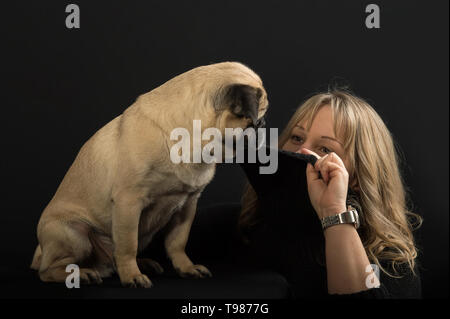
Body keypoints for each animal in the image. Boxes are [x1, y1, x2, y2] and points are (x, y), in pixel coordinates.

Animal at [32, 61, 270, 288]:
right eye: (256, 121)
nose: (264, 126)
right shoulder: (128, 202)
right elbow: (127, 245)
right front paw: (132, 276)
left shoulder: (187, 204)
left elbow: (177, 243)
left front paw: (186, 268)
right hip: (73, 233)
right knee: (49, 270)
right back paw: (82, 274)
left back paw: (142, 263)